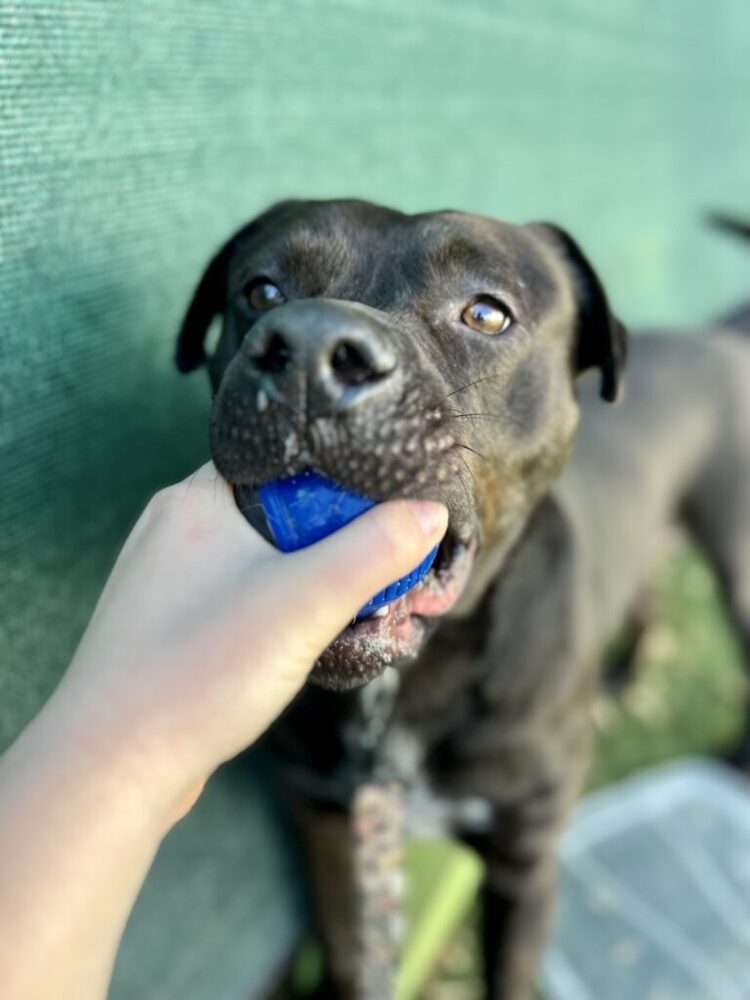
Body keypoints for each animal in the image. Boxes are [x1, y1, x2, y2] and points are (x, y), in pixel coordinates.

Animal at [175, 199, 750, 996]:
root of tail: (717, 337)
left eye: (486, 312)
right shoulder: (325, 820)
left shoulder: (523, 861)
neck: (399, 696)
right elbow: (349, 952)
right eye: (260, 291)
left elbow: (506, 974)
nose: (311, 347)